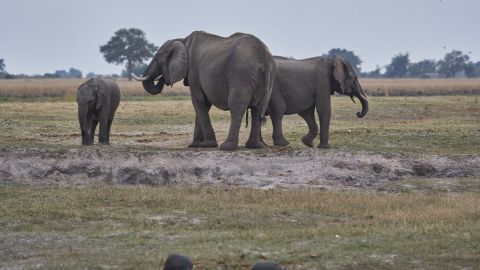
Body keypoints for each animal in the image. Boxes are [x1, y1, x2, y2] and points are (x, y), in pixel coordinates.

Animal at [131, 31, 276, 152]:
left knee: (237, 107)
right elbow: (204, 104)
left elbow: (199, 101)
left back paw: (227, 147)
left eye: (156, 58)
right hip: (268, 77)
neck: (182, 40)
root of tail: (264, 58)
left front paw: (207, 145)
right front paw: (194, 145)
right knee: (258, 109)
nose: (162, 78)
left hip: (241, 74)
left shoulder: (193, 71)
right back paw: (254, 146)